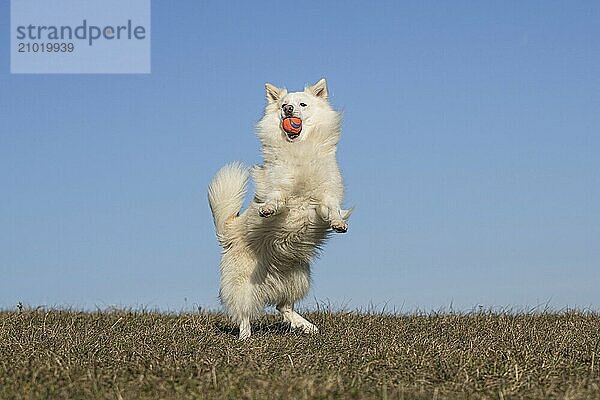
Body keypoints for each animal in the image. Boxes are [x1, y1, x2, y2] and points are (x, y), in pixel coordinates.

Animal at [207, 77, 352, 338]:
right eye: (284, 104)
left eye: (302, 104)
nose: (288, 110)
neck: (299, 148)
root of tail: (228, 230)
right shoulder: (277, 186)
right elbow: (277, 198)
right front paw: (268, 209)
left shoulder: (328, 193)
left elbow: (332, 208)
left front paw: (338, 223)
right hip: (244, 283)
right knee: (245, 313)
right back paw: (245, 337)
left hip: (298, 277)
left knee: (283, 306)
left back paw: (306, 326)